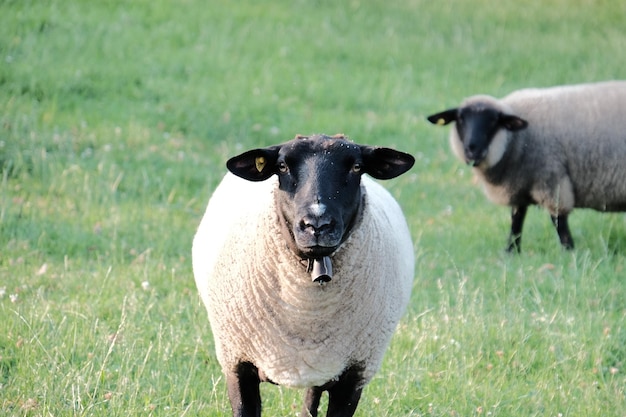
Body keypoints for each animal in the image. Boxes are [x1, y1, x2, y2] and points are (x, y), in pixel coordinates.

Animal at [190, 133, 414, 416]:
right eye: (282, 166)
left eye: (356, 167)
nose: (317, 224)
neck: (304, 311)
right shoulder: (237, 363)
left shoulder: (354, 373)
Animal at [426, 80, 624, 252]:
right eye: (460, 119)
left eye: (493, 121)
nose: (472, 149)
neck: (516, 139)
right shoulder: (519, 186)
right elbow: (516, 221)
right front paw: (511, 252)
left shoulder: (551, 179)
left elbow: (559, 222)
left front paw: (569, 252)